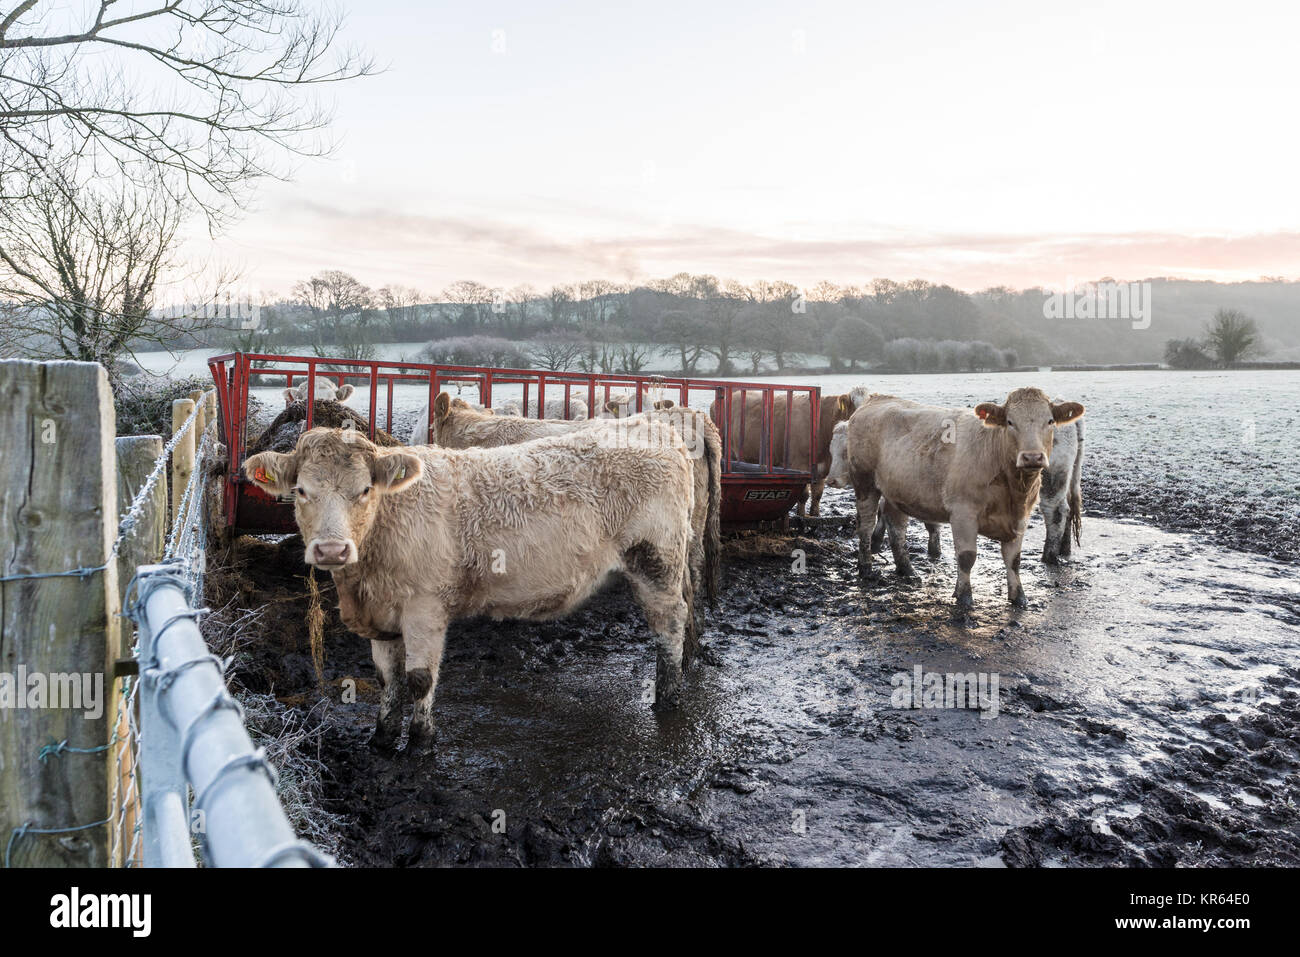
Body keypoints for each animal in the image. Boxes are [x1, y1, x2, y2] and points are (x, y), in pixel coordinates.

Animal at [243, 424, 697, 753]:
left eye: (365, 490)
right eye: (301, 491)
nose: (332, 549)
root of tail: (653, 427)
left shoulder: (425, 607)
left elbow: (420, 679)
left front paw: (421, 744)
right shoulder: (382, 615)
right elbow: (388, 678)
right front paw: (383, 737)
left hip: (656, 562)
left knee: (670, 624)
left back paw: (668, 696)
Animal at [843, 388, 1084, 608]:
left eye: (1050, 421)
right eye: (1010, 422)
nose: (1032, 457)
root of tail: (876, 398)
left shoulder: (1020, 517)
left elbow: (1014, 560)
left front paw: (1019, 597)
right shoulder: (963, 513)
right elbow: (967, 556)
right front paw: (964, 596)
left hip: (897, 491)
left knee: (896, 528)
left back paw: (907, 570)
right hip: (864, 482)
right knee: (866, 525)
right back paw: (865, 567)